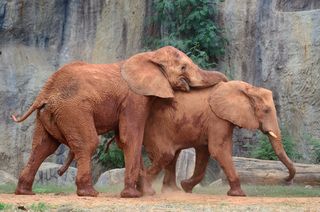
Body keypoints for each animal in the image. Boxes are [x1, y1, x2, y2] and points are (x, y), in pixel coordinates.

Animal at [11, 46, 228, 197]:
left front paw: (147, 194)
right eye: (183, 67)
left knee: (42, 147)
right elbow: (130, 138)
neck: (150, 56)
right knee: (88, 143)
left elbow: (125, 140)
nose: (226, 81)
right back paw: (89, 193)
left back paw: (25, 192)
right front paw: (133, 195)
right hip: (73, 110)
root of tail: (45, 92)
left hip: (49, 114)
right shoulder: (134, 98)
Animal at [140, 80, 298, 196]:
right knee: (165, 154)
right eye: (266, 110)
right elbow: (218, 150)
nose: (285, 179)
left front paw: (186, 187)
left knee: (172, 156)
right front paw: (238, 194)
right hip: (156, 127)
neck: (247, 88)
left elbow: (205, 152)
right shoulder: (216, 118)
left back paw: (173, 191)